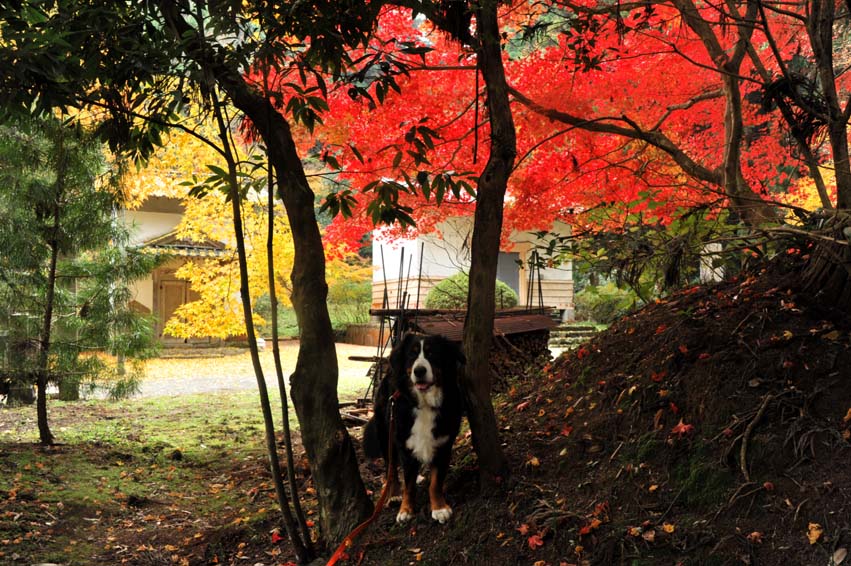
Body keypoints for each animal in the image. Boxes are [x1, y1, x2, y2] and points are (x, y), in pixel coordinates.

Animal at [360, 336, 466, 524]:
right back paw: (394, 494)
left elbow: (435, 483)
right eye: (412, 354)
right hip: (386, 434)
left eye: (432, 353)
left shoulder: (443, 445)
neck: (424, 404)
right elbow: (408, 485)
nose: (419, 371)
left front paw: (439, 508)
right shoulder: (404, 444)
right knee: (391, 468)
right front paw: (405, 510)